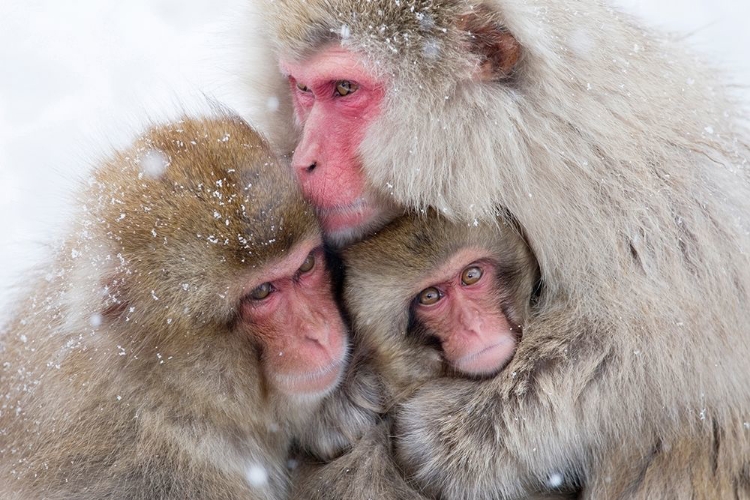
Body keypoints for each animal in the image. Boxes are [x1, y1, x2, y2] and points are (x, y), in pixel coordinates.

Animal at [242, 0, 750, 498]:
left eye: (345, 89)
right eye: (303, 89)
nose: (303, 161)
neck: (500, 146)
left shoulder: (622, 185)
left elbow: (658, 339)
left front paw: (448, 436)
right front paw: (341, 399)